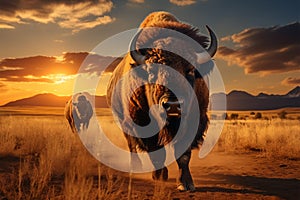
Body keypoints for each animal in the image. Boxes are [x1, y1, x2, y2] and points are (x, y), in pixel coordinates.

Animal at [106, 11, 218, 191]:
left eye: (190, 70)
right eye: (152, 71)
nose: (172, 106)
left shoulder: (194, 120)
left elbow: (183, 154)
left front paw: (185, 183)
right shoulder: (143, 122)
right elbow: (156, 151)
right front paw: (159, 176)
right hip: (124, 123)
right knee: (132, 147)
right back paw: (135, 168)